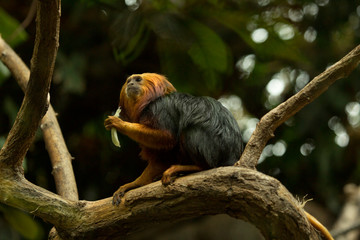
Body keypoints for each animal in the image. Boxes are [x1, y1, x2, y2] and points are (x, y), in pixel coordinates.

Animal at [105, 73, 245, 204]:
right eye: (129, 81)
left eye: (138, 80)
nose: (130, 84)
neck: (150, 101)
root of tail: (232, 155)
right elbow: (161, 159)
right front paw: (134, 184)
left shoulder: (159, 109)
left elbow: (168, 137)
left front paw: (120, 124)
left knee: (189, 132)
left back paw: (195, 167)